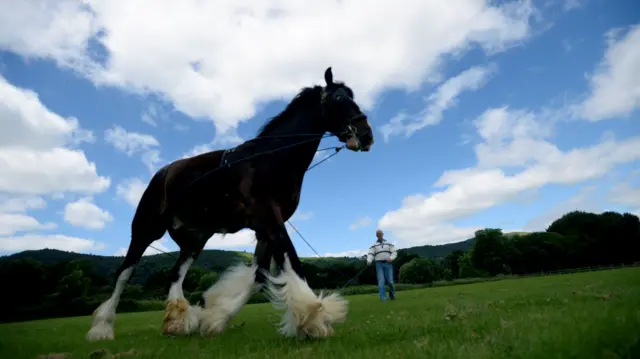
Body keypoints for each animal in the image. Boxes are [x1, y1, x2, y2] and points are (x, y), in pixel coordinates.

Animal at [85, 67, 376, 344]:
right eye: (338, 98)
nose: (366, 135)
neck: (269, 159)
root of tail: (162, 174)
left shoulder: (264, 228)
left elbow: (258, 278)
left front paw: (214, 319)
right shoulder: (270, 219)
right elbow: (292, 263)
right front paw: (313, 320)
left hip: (195, 239)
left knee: (175, 274)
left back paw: (176, 323)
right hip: (146, 230)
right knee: (124, 273)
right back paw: (102, 328)